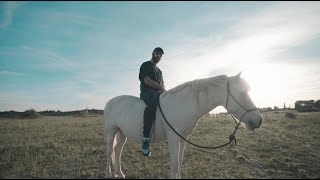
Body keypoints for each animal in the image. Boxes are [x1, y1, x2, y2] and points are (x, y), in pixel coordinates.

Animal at [102, 73, 262, 179]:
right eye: (243, 92)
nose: (259, 120)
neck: (184, 104)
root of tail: (110, 102)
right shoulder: (173, 138)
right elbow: (174, 164)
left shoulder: (183, 137)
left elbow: (179, 162)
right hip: (111, 131)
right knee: (109, 151)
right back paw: (109, 173)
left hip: (122, 132)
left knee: (117, 150)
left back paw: (120, 173)